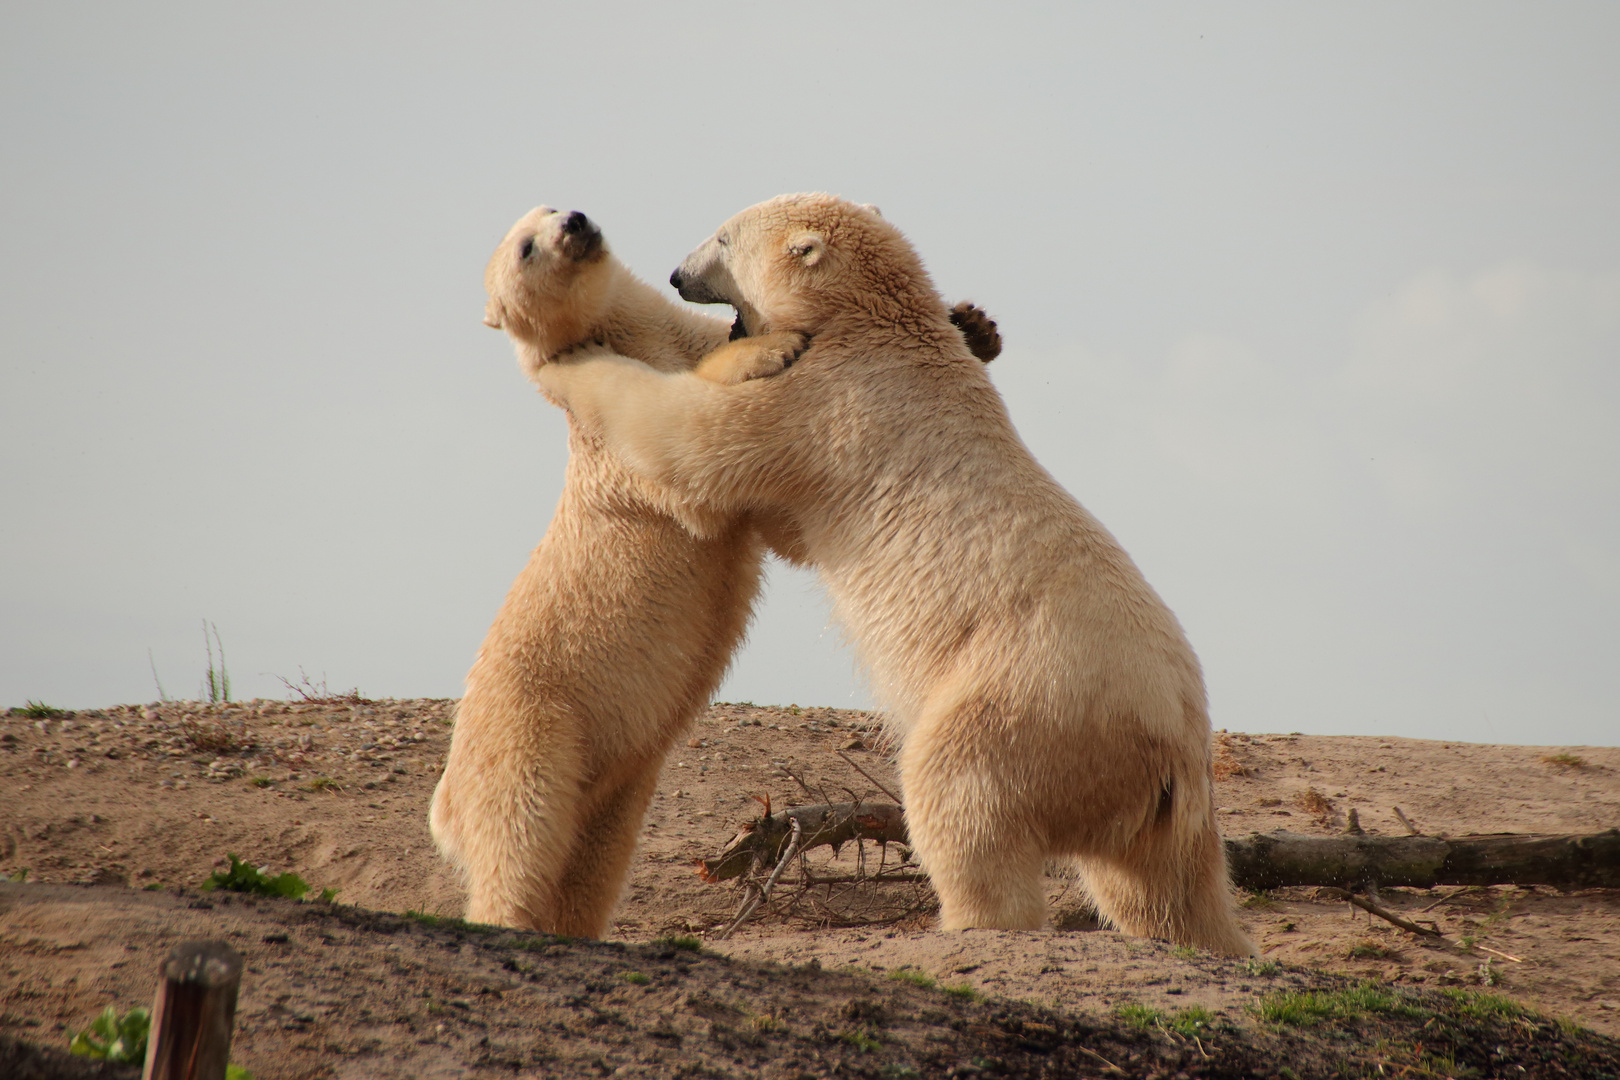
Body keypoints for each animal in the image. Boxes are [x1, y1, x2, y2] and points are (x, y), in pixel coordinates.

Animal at [427, 204, 997, 939]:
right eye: (527, 247)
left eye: (551, 208)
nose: (576, 222)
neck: (622, 331)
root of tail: (443, 804)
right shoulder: (619, 457)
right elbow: (682, 444)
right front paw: (775, 347)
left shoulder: (675, 337)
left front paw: (974, 323)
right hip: (530, 729)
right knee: (519, 838)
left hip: (615, 783)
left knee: (593, 862)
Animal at [537, 191, 1257, 952]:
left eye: (724, 238)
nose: (676, 274)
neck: (879, 327)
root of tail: (1172, 748)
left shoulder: (820, 406)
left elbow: (688, 443)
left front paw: (573, 358)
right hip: (1158, 806)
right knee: (1163, 887)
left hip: (1030, 702)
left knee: (960, 796)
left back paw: (968, 920)